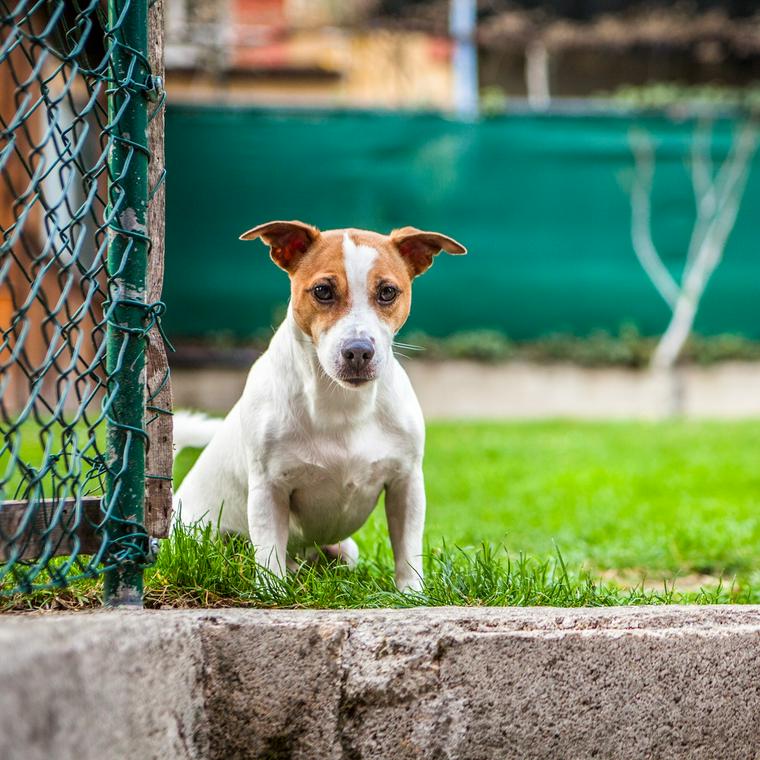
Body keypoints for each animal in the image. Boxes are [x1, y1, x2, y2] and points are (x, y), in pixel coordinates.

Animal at [174, 220, 464, 592]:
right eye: (323, 291)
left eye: (387, 292)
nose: (358, 351)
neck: (341, 402)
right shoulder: (270, 489)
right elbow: (269, 550)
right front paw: (272, 593)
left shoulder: (406, 483)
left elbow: (407, 548)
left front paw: (411, 594)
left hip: (345, 549)